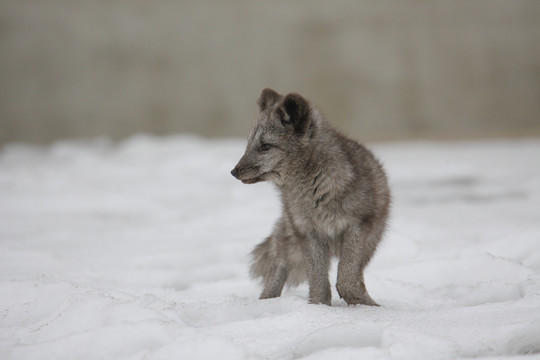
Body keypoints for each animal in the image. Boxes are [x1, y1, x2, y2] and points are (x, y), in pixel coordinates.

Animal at [230, 88, 390, 306]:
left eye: (266, 146)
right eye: (249, 144)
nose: (233, 172)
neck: (315, 189)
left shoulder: (357, 227)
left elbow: (347, 278)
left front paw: (366, 306)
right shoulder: (308, 233)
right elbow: (318, 281)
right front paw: (319, 307)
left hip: (371, 243)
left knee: (356, 272)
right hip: (291, 239)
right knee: (278, 264)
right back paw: (266, 302)